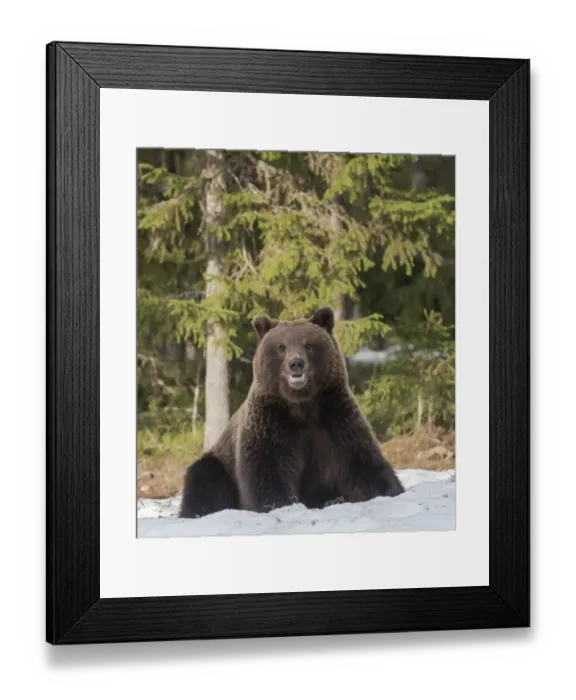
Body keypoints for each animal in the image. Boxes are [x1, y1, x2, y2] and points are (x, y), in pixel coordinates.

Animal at [179, 306, 405, 519]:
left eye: (308, 344)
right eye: (281, 346)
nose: (296, 363)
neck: (302, 406)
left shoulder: (335, 419)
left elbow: (363, 462)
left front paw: (389, 490)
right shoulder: (272, 422)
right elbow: (267, 471)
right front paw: (277, 504)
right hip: (220, 464)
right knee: (204, 481)